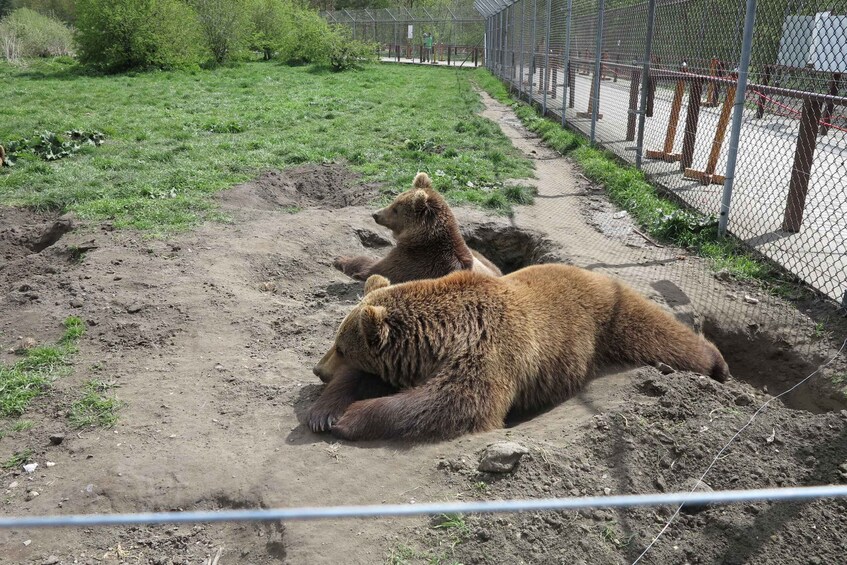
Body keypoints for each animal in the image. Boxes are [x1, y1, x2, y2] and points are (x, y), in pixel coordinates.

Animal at [312, 264, 728, 440]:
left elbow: (457, 402)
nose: (318, 369)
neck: (442, 338)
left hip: (610, 314)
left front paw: (351, 418)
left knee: (660, 333)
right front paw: (326, 411)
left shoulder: (489, 349)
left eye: (340, 347)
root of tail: (590, 271)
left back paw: (717, 364)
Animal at [332, 172, 504, 284]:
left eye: (396, 209)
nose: (375, 214)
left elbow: (375, 267)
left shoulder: (414, 261)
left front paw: (340, 259)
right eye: (394, 201)